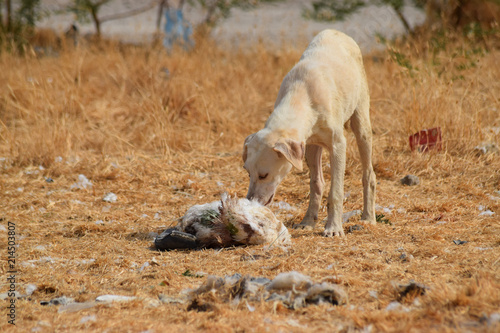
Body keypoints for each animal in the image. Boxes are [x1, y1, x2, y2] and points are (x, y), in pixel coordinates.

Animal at [242, 29, 376, 236]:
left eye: (264, 175)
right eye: (248, 173)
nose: (250, 203)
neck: (302, 96)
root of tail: (337, 31)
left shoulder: (338, 145)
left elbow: (335, 192)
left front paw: (333, 228)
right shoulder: (307, 146)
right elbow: (315, 184)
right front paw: (307, 222)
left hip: (362, 125)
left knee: (369, 174)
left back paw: (368, 217)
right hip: (314, 147)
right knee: (319, 180)